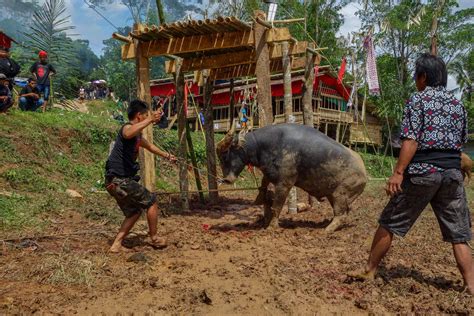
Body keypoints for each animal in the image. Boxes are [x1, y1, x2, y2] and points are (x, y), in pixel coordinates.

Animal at [217, 123, 368, 232]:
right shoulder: (270, 174)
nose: (226, 179)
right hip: (333, 195)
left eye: (225, 156)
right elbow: (264, 184)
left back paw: (327, 229)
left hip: (339, 195)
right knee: (345, 213)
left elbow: (276, 207)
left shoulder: (285, 184)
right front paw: (260, 198)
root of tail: (364, 173)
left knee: (341, 214)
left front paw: (271, 227)